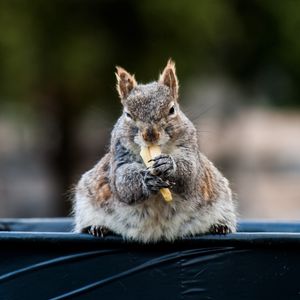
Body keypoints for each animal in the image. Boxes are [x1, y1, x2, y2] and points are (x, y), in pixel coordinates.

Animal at [72, 59, 237, 243]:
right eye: (127, 114)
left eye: (172, 110)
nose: (150, 135)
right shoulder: (119, 158)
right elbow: (122, 181)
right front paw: (146, 180)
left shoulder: (189, 149)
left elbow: (190, 173)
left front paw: (169, 165)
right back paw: (96, 227)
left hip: (223, 200)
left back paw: (220, 226)